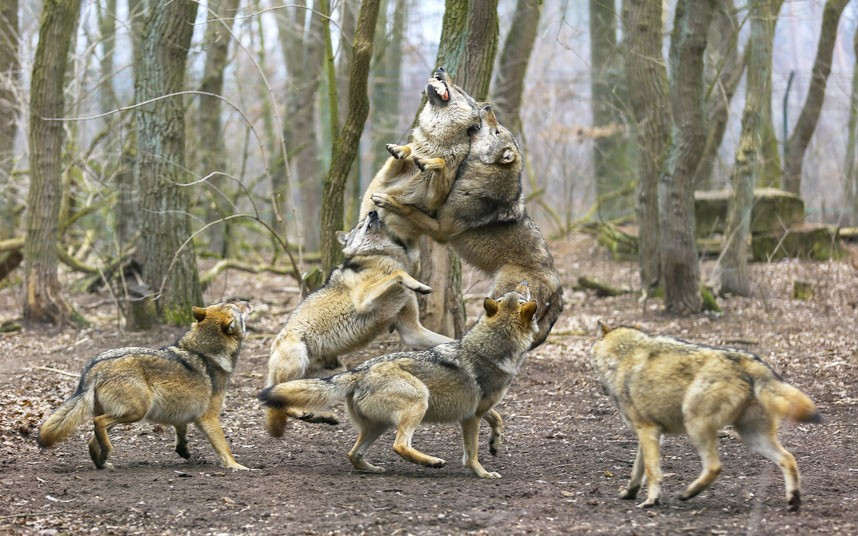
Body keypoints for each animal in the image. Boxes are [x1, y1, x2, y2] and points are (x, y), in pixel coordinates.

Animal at [37, 302, 251, 471]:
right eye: (237, 308)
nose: (248, 302)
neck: (205, 351)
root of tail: (95, 367)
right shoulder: (209, 418)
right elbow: (224, 447)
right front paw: (236, 466)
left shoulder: (181, 414)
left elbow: (181, 439)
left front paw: (186, 453)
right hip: (137, 411)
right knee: (98, 423)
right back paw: (107, 453)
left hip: (125, 413)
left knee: (92, 440)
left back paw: (103, 462)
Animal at [259, 283, 538, 478]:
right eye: (520, 296)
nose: (525, 282)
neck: (491, 348)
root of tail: (361, 370)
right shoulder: (471, 418)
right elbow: (472, 455)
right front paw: (483, 473)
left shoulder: (478, 411)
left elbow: (498, 418)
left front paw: (495, 443)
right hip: (418, 402)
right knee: (399, 446)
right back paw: (432, 462)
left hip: (378, 426)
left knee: (353, 454)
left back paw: (373, 469)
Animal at [264, 211, 453, 437]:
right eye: (361, 224)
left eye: (365, 219)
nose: (373, 211)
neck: (381, 256)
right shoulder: (364, 301)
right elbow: (398, 274)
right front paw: (418, 284)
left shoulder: (412, 331)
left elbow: (447, 339)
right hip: (297, 356)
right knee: (277, 400)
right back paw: (306, 413)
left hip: (336, 372)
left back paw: (321, 416)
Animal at [372, 105, 563, 348]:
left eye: (497, 131)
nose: (488, 106)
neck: (479, 174)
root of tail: (559, 289)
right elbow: (439, 165)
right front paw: (408, 154)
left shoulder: (440, 230)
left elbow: (409, 209)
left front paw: (387, 200)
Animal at [590, 324, 821, 511]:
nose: (601, 388)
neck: (622, 356)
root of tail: (747, 361)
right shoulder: (649, 435)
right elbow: (637, 471)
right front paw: (629, 493)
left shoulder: (648, 430)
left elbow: (652, 472)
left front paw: (651, 501)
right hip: (753, 438)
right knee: (789, 459)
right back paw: (793, 501)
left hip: (696, 426)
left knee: (714, 467)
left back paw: (687, 494)